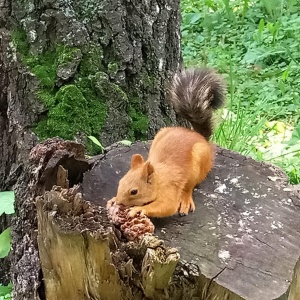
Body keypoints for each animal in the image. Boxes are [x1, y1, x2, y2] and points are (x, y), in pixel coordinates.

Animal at [111, 68, 224, 218]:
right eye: (120, 182)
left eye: (134, 191)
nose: (119, 202)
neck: (158, 179)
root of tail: (199, 137)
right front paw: (112, 200)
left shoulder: (168, 188)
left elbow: (167, 206)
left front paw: (138, 209)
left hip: (199, 161)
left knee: (189, 187)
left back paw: (185, 200)